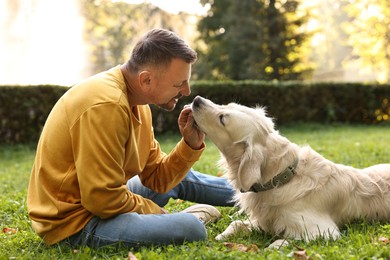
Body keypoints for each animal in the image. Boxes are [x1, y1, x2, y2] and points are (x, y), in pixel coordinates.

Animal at [190, 95, 390, 248]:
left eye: (222, 118)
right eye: (227, 105)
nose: (196, 99)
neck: (282, 178)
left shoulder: (324, 231)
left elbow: (280, 242)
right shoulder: (264, 221)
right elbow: (236, 223)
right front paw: (222, 236)